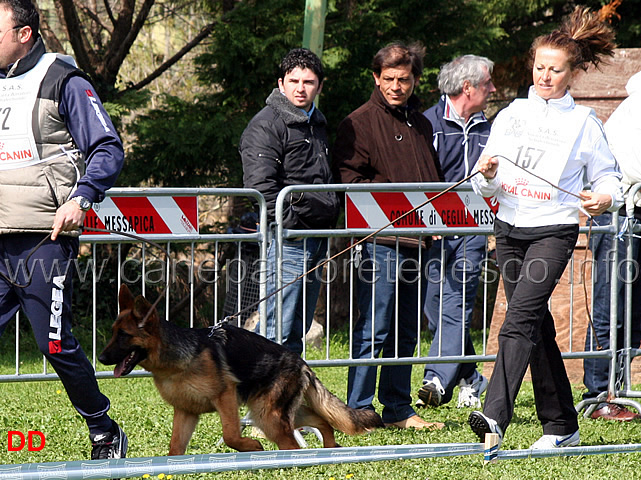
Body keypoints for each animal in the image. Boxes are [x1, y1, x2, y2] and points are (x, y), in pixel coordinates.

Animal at [97, 284, 382, 454]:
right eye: (113, 333)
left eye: (123, 336)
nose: (99, 357)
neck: (177, 361)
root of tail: (302, 363)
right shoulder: (186, 412)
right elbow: (175, 448)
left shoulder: (225, 398)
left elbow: (231, 435)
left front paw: (251, 446)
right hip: (274, 413)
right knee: (323, 419)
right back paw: (330, 447)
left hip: (268, 417)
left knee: (294, 443)